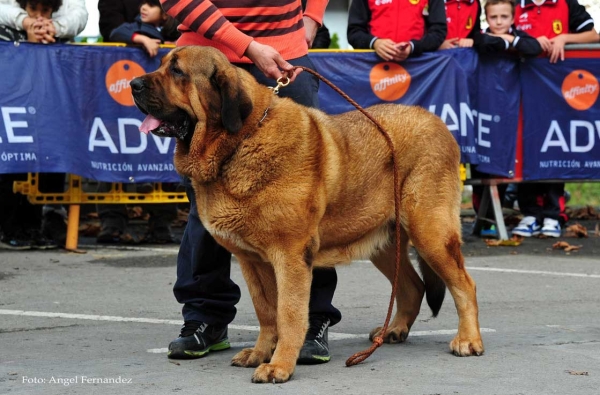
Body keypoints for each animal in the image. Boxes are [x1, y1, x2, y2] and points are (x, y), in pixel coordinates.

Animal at [131, 45, 482, 384]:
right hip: (381, 240)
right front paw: (260, 353)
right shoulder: (251, 260)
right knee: (412, 286)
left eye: (177, 70)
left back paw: (468, 340)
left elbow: (289, 313)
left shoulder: (290, 256)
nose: (133, 84)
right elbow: (266, 311)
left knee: (465, 284)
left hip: (430, 232)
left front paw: (279, 366)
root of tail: (438, 122)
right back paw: (393, 331)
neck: (241, 141)